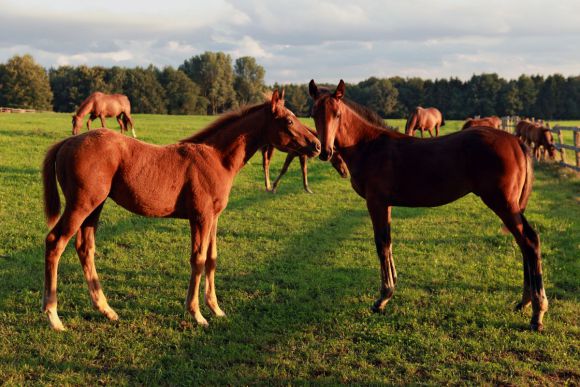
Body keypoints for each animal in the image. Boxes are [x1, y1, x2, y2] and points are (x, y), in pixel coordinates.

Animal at [42, 89, 322, 332]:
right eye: (288, 120)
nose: (317, 145)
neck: (216, 158)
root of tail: (67, 141)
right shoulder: (200, 217)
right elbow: (197, 260)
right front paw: (196, 313)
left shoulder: (214, 218)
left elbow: (212, 259)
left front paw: (216, 309)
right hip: (81, 205)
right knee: (55, 242)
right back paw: (53, 316)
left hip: (95, 207)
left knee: (84, 248)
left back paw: (106, 310)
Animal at [308, 79, 548, 334]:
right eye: (313, 113)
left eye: (337, 114)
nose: (325, 151)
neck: (368, 146)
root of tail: (516, 142)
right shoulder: (386, 204)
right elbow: (388, 243)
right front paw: (391, 287)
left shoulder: (376, 202)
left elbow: (381, 245)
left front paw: (382, 298)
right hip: (511, 206)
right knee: (524, 243)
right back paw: (524, 302)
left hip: (503, 204)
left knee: (530, 241)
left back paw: (537, 313)